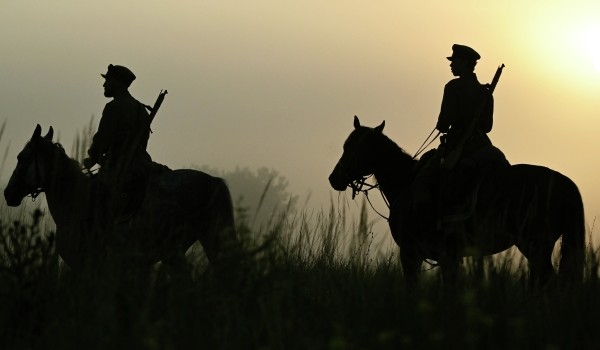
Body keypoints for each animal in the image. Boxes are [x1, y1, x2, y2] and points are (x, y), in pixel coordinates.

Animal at [330, 116, 584, 288]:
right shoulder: (448, 258)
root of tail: (564, 182)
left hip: (535, 245)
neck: (406, 182)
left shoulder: (411, 253)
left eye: (350, 148)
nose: (334, 178)